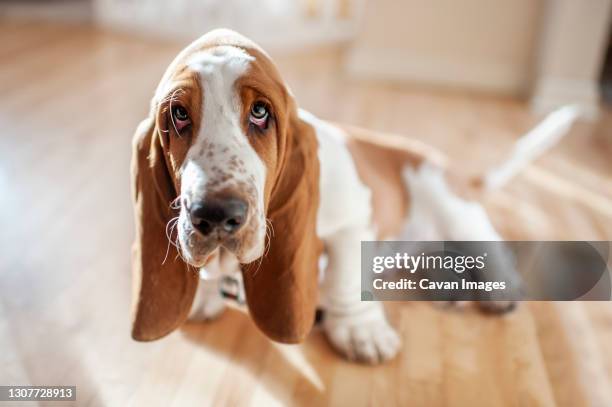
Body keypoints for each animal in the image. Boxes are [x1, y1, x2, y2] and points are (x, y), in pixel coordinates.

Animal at [131, 30, 580, 364]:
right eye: (179, 114)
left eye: (260, 112)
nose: (216, 214)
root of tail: (450, 168)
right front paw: (205, 294)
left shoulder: (354, 219)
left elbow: (345, 273)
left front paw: (359, 328)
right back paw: (448, 288)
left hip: (451, 205)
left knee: (489, 247)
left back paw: (499, 291)